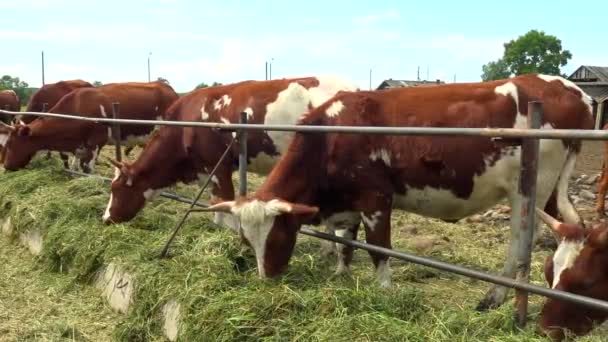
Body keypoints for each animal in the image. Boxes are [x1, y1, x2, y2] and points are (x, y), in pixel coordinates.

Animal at [1, 81, 178, 172]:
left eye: (10, 144)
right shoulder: (80, 147)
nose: (6, 166)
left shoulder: (95, 142)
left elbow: (87, 168)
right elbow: (77, 164)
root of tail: (168, 88)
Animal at [203, 74, 592, 310]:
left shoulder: (376, 198)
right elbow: (346, 241)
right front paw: (341, 274)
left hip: (530, 190)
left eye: (278, 236)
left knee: (521, 241)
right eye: (247, 240)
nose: (266, 279)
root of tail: (573, 90)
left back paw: (494, 297)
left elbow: (378, 247)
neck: (332, 134)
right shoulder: (348, 201)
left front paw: (384, 290)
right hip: (550, 190)